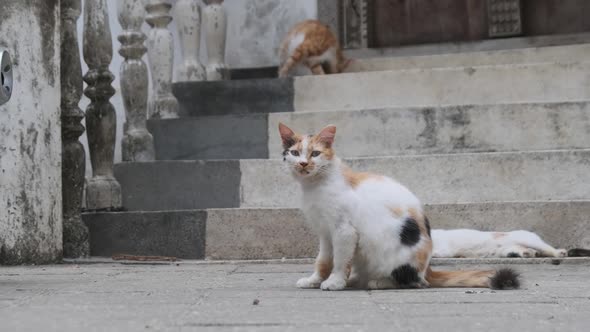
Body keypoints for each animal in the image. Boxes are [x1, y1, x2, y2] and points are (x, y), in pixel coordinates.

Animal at [280, 123, 520, 290]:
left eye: (315, 153)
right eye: (294, 153)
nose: (303, 164)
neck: (314, 186)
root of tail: (427, 269)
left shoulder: (344, 231)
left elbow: (340, 260)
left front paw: (335, 281)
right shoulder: (325, 232)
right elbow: (323, 260)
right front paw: (314, 280)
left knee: (415, 282)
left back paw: (376, 282)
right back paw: (357, 279)